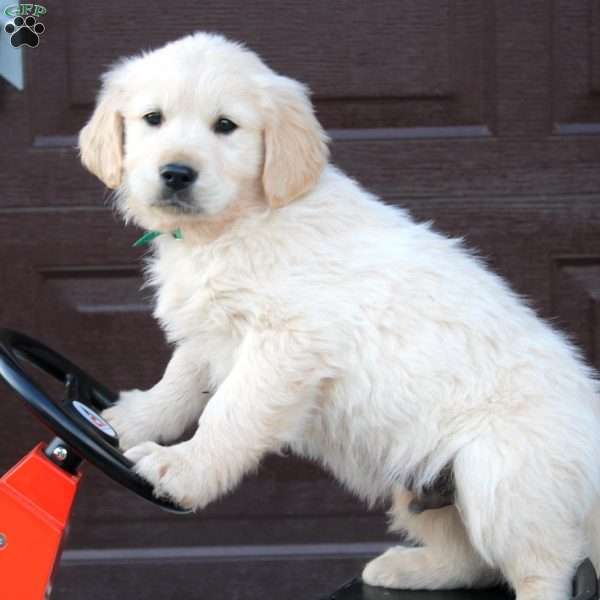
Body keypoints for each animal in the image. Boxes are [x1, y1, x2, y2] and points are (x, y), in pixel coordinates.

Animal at [78, 34, 600, 600]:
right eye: (152, 118)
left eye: (225, 126)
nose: (176, 173)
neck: (237, 225)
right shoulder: (213, 331)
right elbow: (179, 382)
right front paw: (125, 419)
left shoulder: (285, 344)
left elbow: (229, 412)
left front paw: (183, 469)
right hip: (417, 482)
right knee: (473, 560)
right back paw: (405, 569)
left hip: (502, 474)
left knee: (548, 566)